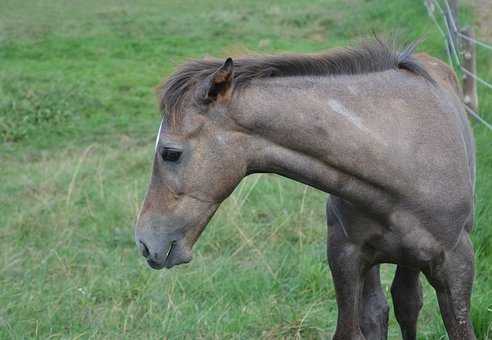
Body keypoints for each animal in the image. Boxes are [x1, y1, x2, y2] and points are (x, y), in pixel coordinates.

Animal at [135, 40, 476, 340]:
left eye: (170, 153)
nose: (145, 243)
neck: (402, 157)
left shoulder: (456, 264)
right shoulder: (344, 257)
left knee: (407, 304)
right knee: (381, 310)